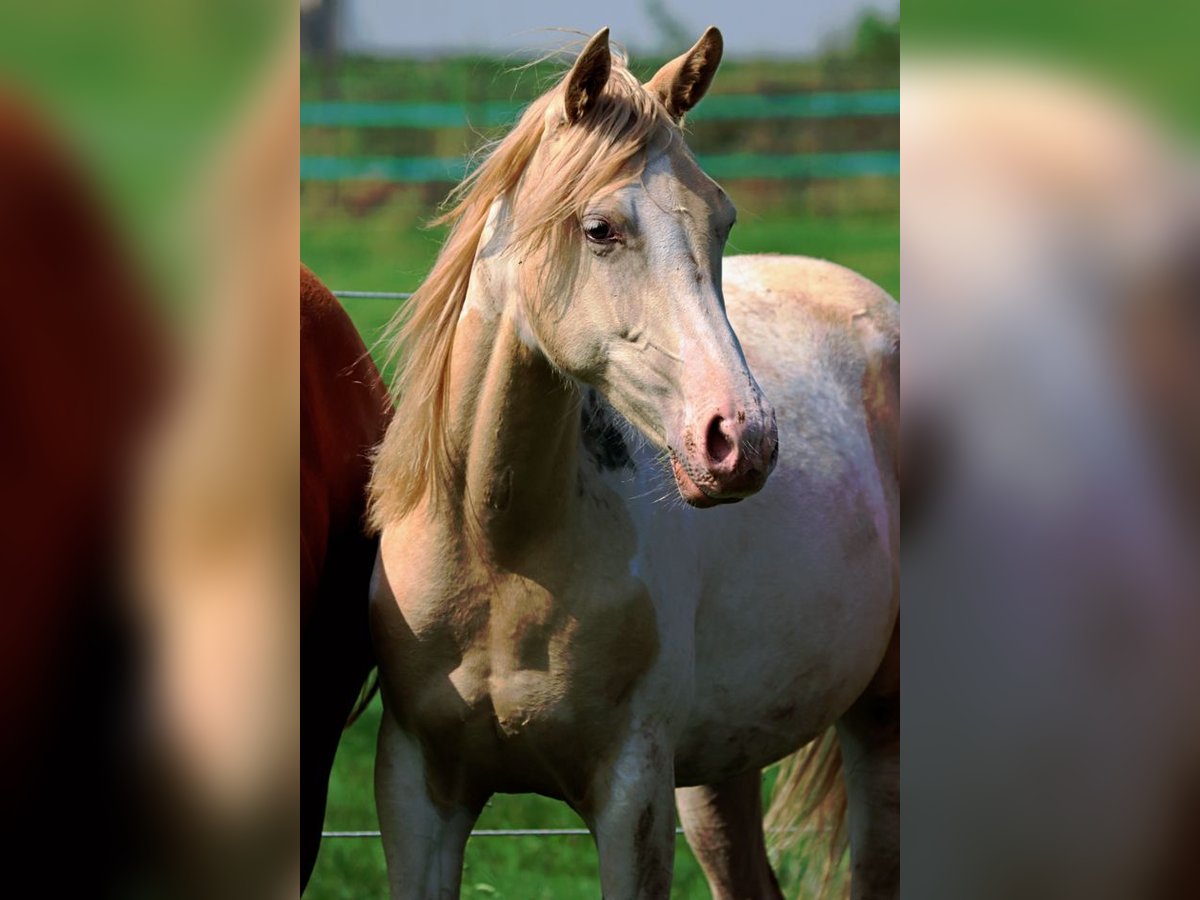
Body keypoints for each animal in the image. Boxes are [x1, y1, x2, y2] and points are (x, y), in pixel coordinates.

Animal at [364, 26, 902, 897]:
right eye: (600, 229)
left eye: (722, 219)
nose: (744, 440)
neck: (498, 552)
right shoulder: (417, 790)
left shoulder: (631, 795)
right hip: (720, 767)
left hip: (881, 727)